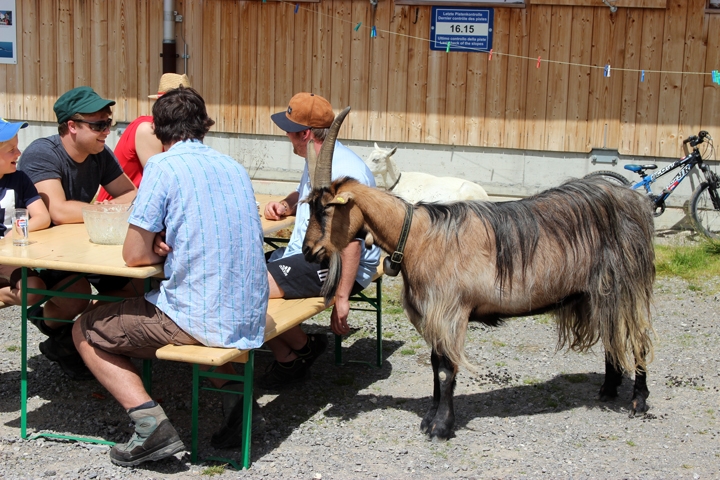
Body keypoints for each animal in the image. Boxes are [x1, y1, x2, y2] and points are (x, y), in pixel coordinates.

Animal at [300, 107, 656, 440]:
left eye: (326, 208)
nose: (308, 251)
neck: (417, 237)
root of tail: (636, 201)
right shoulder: (434, 314)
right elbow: (435, 365)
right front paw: (429, 418)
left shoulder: (450, 310)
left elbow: (446, 369)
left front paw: (441, 426)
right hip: (599, 291)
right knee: (612, 334)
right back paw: (608, 389)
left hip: (627, 282)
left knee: (637, 336)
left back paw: (638, 401)